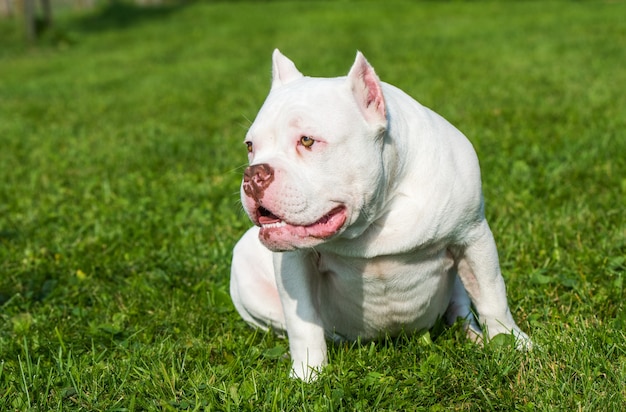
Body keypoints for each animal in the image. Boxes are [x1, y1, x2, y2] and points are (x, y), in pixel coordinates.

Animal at [229, 49, 528, 380]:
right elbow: (302, 322)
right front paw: (308, 374)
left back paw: (473, 336)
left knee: (461, 308)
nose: (253, 174)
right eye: (250, 146)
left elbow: (492, 295)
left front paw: (513, 342)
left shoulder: (473, 235)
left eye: (307, 140)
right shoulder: (295, 260)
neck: (375, 217)